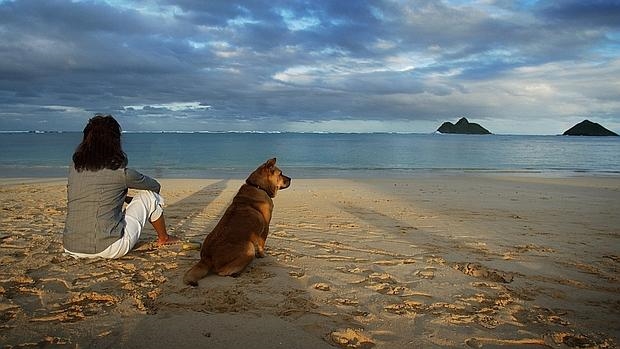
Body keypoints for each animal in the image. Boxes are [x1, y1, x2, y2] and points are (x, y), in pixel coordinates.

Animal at [183, 158, 292, 286]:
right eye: (280, 173)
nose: (291, 179)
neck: (258, 186)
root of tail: (206, 258)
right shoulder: (265, 228)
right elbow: (261, 245)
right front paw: (262, 255)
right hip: (249, 248)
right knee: (222, 272)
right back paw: (237, 272)